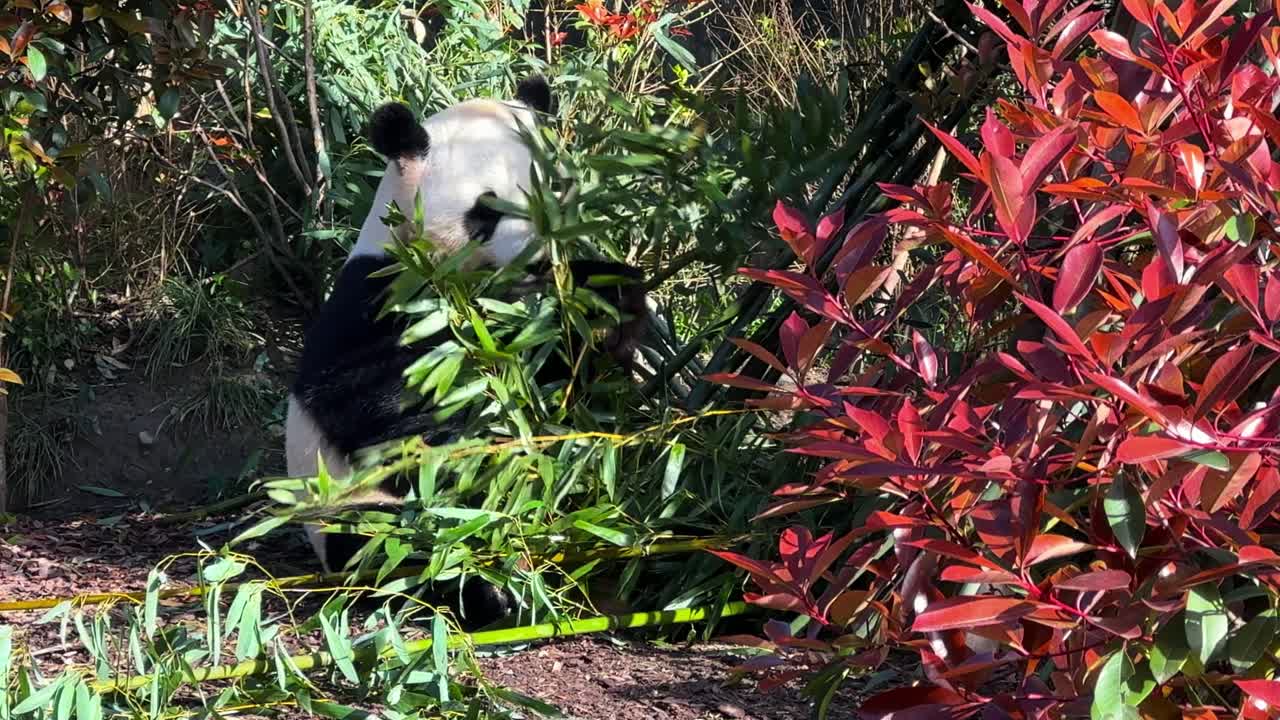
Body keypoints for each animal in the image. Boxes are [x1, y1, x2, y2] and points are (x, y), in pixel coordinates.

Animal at [284, 76, 649, 627]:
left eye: (554, 187)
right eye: (489, 208)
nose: (537, 258)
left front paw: (613, 305)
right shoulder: (379, 295)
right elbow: (371, 396)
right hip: (351, 505)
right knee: (391, 543)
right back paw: (488, 592)